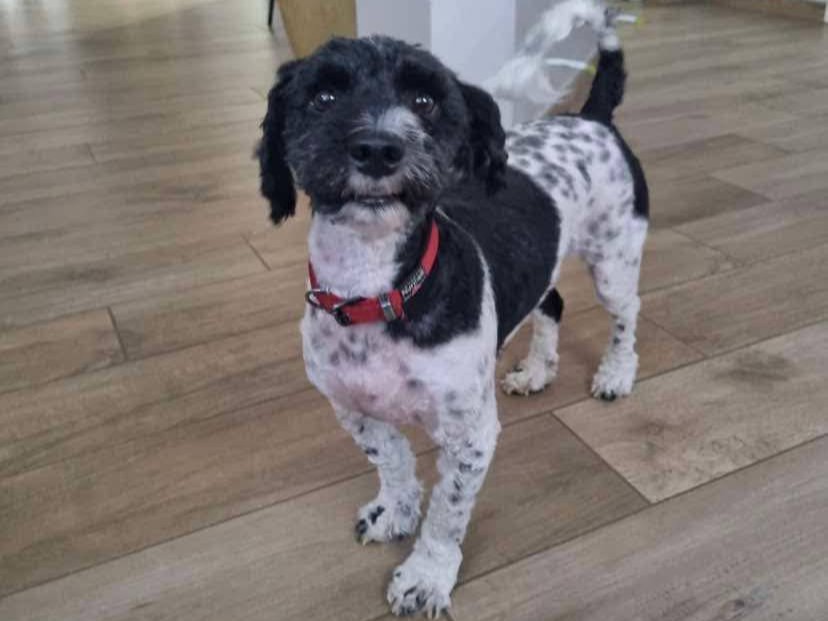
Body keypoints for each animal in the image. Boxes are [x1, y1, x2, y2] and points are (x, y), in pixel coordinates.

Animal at [257, 1, 647, 616]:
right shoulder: (350, 405)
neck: (376, 293)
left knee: (625, 314)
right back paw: (538, 370)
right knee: (553, 302)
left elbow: (447, 514)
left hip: (614, 260)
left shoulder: (471, 435)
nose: (378, 146)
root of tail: (593, 117)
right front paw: (395, 510)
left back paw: (615, 373)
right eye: (323, 95)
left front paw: (426, 576)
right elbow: (391, 458)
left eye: (425, 101)